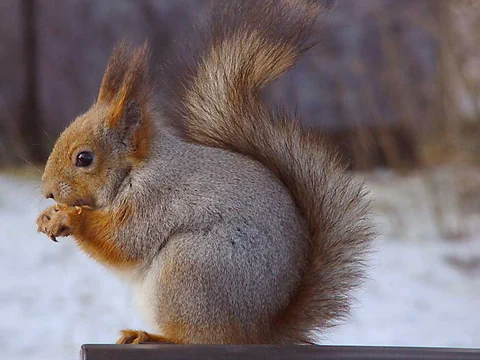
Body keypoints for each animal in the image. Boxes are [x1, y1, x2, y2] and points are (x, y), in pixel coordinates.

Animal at [35, 0, 374, 344]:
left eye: (84, 158)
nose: (47, 191)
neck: (136, 169)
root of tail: (258, 333)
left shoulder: (154, 200)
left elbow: (123, 242)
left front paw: (69, 218)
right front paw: (48, 215)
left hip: (189, 269)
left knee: (196, 338)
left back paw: (151, 336)